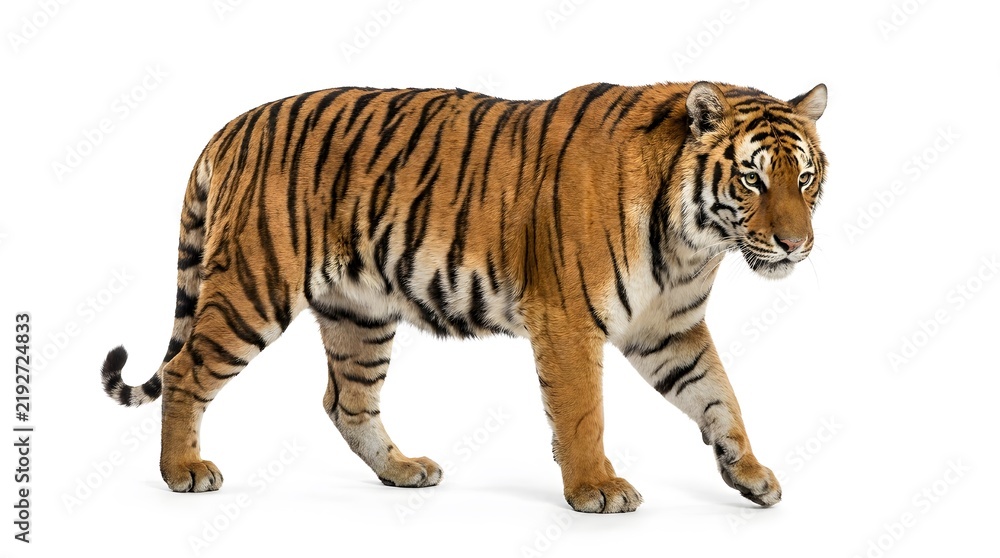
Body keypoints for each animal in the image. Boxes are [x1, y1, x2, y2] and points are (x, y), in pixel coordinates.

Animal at [100, 80, 827, 513]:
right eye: (753, 179)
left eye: (806, 177)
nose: (796, 245)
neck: (692, 244)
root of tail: (235, 123)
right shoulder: (568, 321)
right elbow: (583, 413)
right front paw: (595, 488)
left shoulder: (669, 329)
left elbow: (720, 399)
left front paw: (750, 474)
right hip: (254, 286)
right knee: (185, 370)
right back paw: (183, 471)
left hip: (359, 313)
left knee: (347, 403)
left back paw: (402, 471)